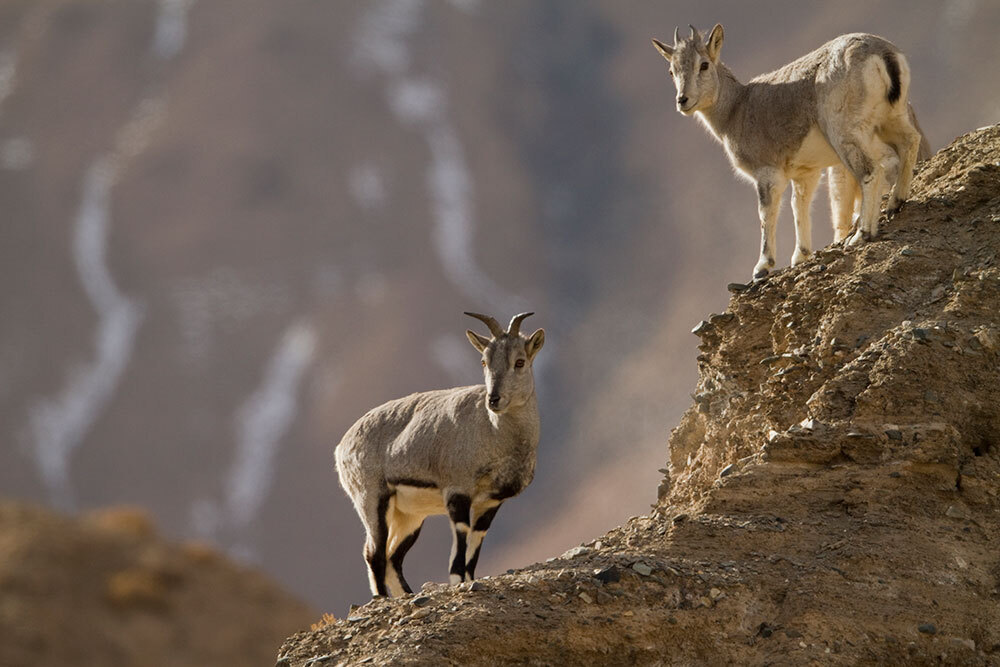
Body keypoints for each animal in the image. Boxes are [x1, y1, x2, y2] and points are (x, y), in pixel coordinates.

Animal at [336, 314, 544, 600]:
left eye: (520, 361)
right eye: (484, 361)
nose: (494, 399)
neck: (494, 433)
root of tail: (342, 447)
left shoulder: (491, 502)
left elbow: (475, 544)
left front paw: (470, 579)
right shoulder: (458, 492)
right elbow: (461, 543)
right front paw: (458, 582)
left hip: (410, 516)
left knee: (393, 558)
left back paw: (408, 594)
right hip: (372, 499)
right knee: (375, 554)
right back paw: (383, 598)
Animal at [652, 24, 924, 280]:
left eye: (704, 64)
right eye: (672, 71)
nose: (683, 100)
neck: (737, 110)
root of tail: (883, 53)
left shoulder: (768, 173)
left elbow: (766, 213)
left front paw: (762, 267)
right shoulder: (805, 173)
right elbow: (798, 205)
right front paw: (800, 256)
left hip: (848, 136)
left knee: (871, 171)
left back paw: (861, 234)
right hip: (891, 119)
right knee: (910, 141)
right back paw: (896, 203)